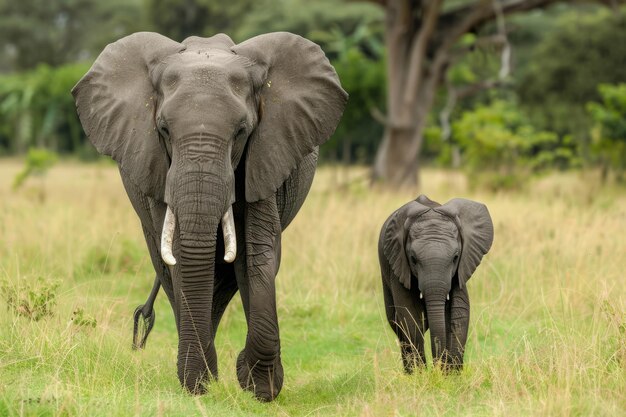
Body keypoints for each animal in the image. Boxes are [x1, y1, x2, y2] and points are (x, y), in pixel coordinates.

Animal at [74, 30, 346, 398]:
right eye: (163, 130)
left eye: (242, 131)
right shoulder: (157, 167)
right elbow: (179, 256)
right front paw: (200, 384)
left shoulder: (265, 155)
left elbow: (257, 253)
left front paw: (258, 388)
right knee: (170, 270)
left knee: (229, 278)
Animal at [378, 194, 490, 370]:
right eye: (413, 259)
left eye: (455, 257)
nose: (437, 366)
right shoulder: (398, 264)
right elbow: (409, 314)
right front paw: (420, 374)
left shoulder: (462, 267)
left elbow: (459, 312)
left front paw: (450, 374)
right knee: (397, 326)